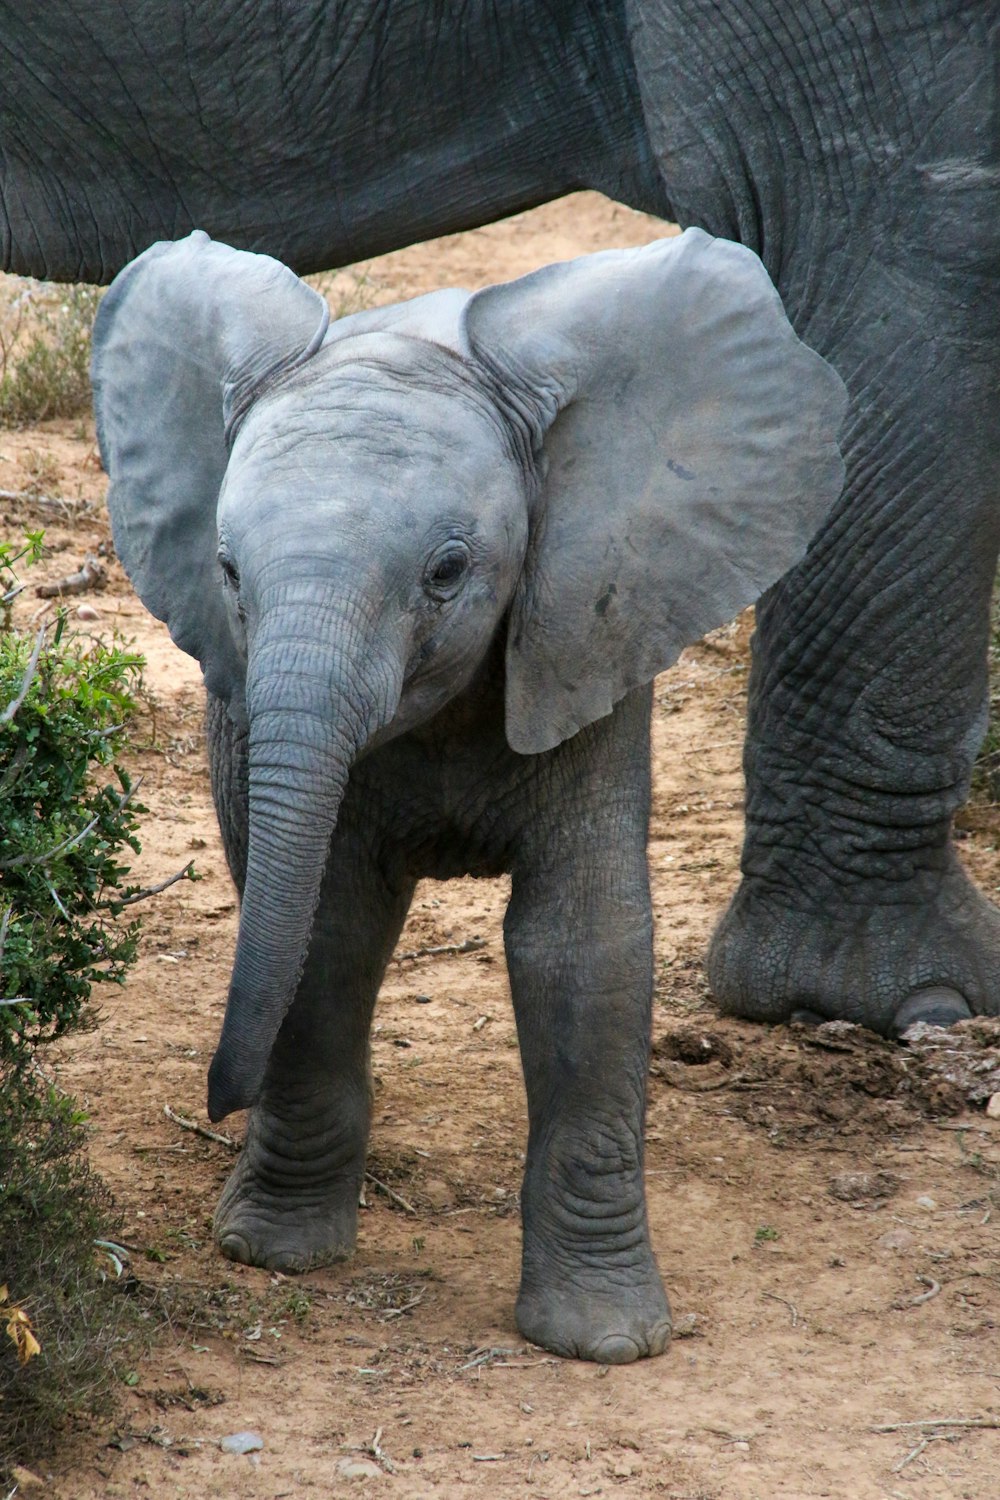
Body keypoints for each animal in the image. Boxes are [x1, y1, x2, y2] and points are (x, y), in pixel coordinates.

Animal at [93, 228, 845, 1368]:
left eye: (448, 571)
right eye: (226, 572)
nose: (219, 1100)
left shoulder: (588, 626)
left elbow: (580, 950)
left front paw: (603, 1342)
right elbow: (330, 928)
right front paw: (275, 1254)